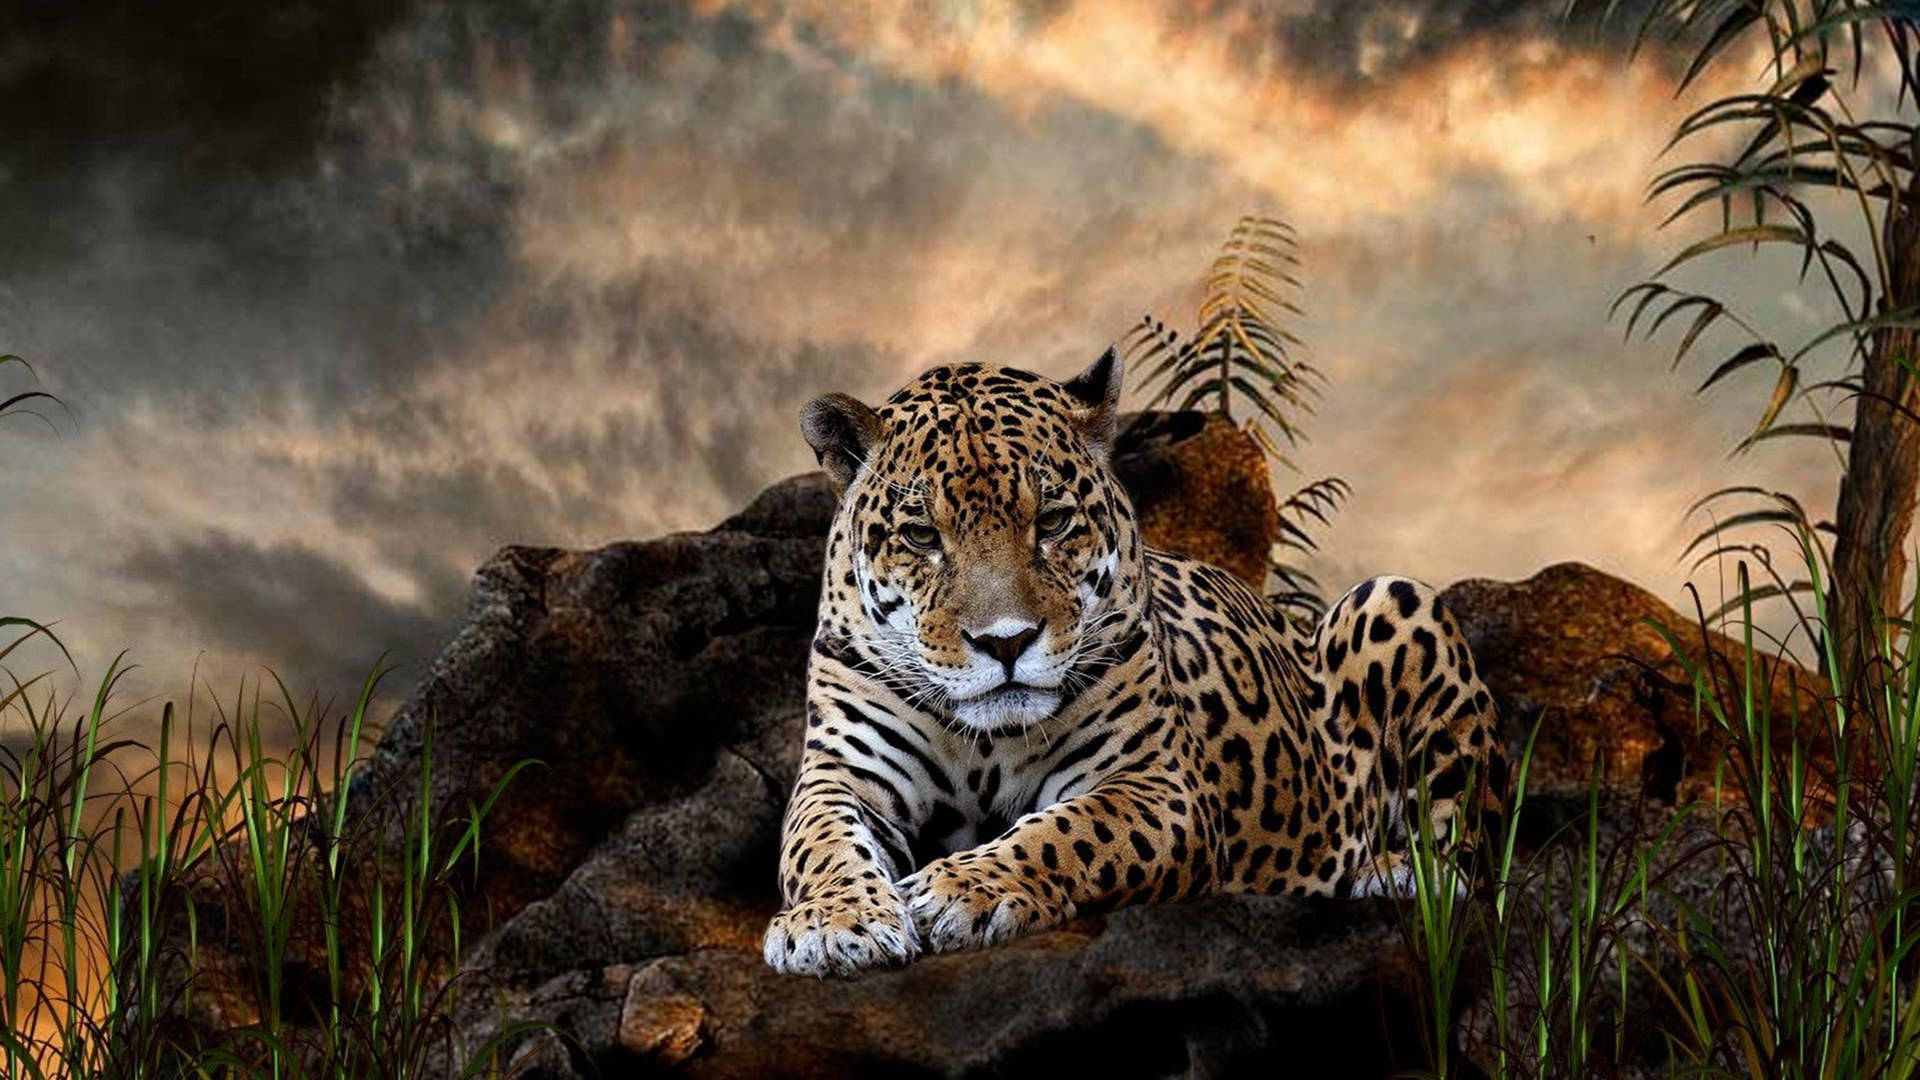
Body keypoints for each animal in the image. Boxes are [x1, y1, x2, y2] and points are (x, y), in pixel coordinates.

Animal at [763, 349, 1507, 977]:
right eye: (921, 536)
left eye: (1053, 522)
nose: (1006, 642)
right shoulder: (843, 773)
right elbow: (820, 841)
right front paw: (834, 922)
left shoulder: (1156, 786)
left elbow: (1068, 832)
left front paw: (960, 889)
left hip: (1395, 599)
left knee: (1469, 859)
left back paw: (1393, 874)